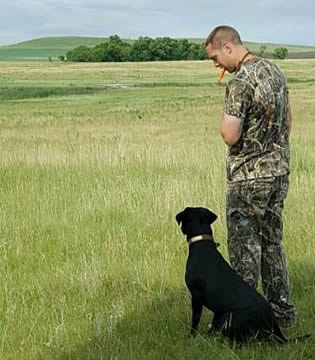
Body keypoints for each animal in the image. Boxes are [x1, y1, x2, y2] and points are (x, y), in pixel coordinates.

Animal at [177, 207, 312, 344]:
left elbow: (195, 319)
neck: (201, 244)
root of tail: (273, 322)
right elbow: (213, 323)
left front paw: (192, 336)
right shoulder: (217, 310)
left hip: (230, 318)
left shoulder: (196, 296)